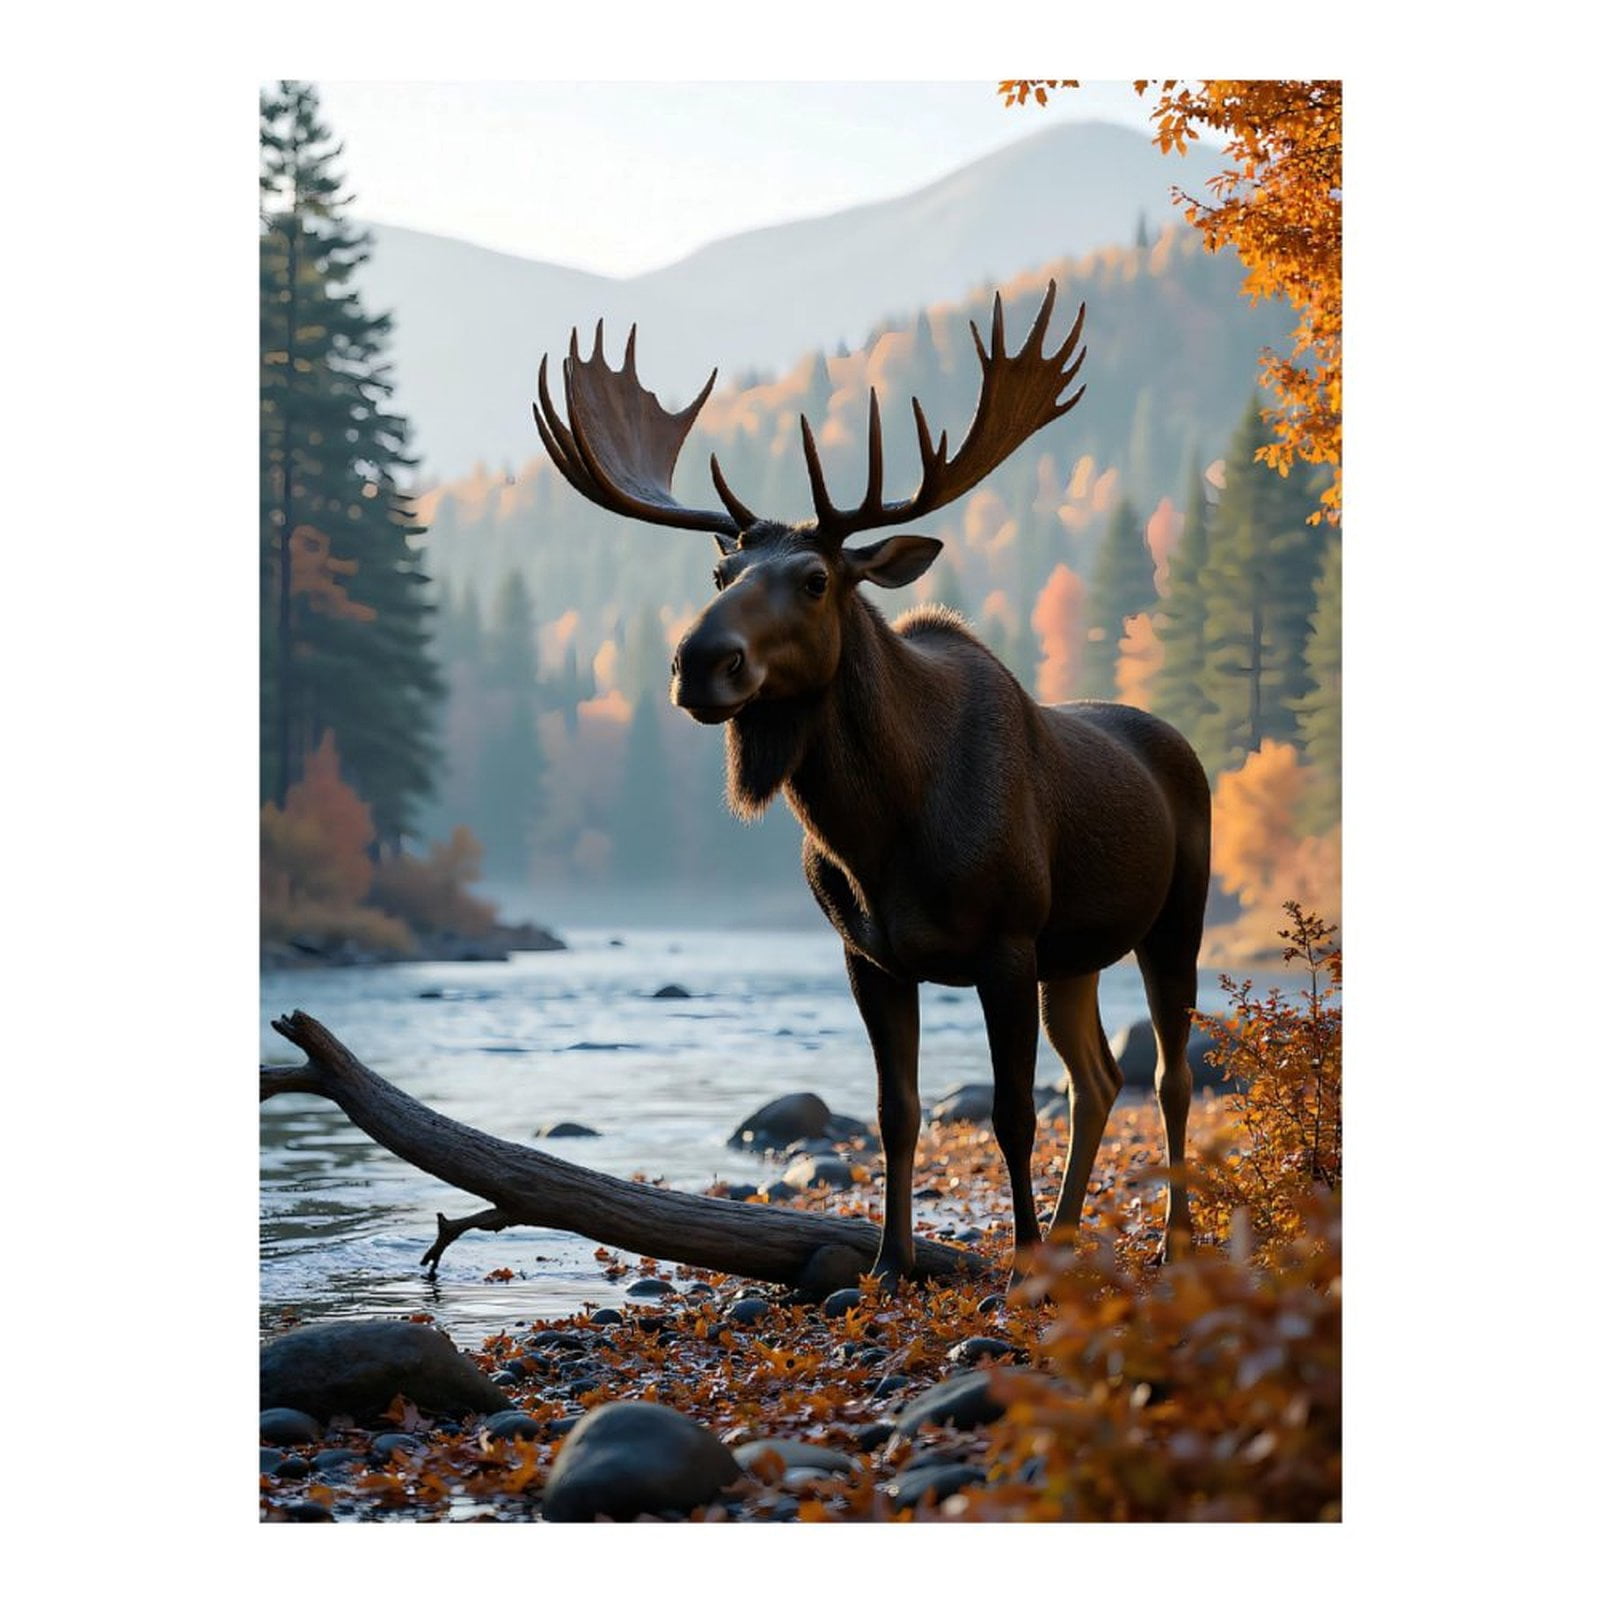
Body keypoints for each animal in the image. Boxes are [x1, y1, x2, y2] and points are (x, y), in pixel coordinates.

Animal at [533, 282, 1211, 1286]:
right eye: (722, 570)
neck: (883, 830)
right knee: (1097, 1078)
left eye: (817, 577)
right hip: (1076, 953)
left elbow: (1011, 1113)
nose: (701, 660)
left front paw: (1014, 1265)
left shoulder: (1006, 940)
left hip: (1173, 920)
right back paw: (1070, 1234)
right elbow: (900, 1113)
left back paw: (1169, 1240)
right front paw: (891, 1264)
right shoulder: (869, 955)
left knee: (1169, 1075)